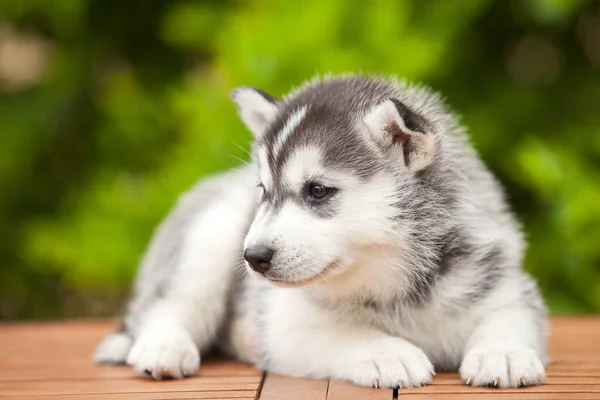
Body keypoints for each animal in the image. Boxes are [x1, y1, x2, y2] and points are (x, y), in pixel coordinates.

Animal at [94, 74, 548, 388]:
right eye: (263, 191)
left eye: (317, 190)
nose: (253, 257)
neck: (393, 285)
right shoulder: (285, 325)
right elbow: (343, 333)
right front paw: (386, 352)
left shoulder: (502, 281)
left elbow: (509, 316)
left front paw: (503, 352)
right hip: (208, 239)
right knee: (170, 305)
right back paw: (164, 348)